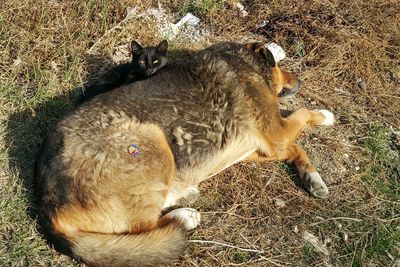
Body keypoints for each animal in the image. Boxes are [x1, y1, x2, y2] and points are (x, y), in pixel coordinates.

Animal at [35, 40, 334, 266]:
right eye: (279, 66)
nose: (299, 79)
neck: (244, 62)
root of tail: (47, 207)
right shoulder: (277, 133)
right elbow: (302, 115)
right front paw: (324, 115)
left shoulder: (261, 146)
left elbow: (295, 147)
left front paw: (311, 177)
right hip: (153, 141)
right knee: (141, 228)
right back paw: (185, 216)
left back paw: (182, 196)